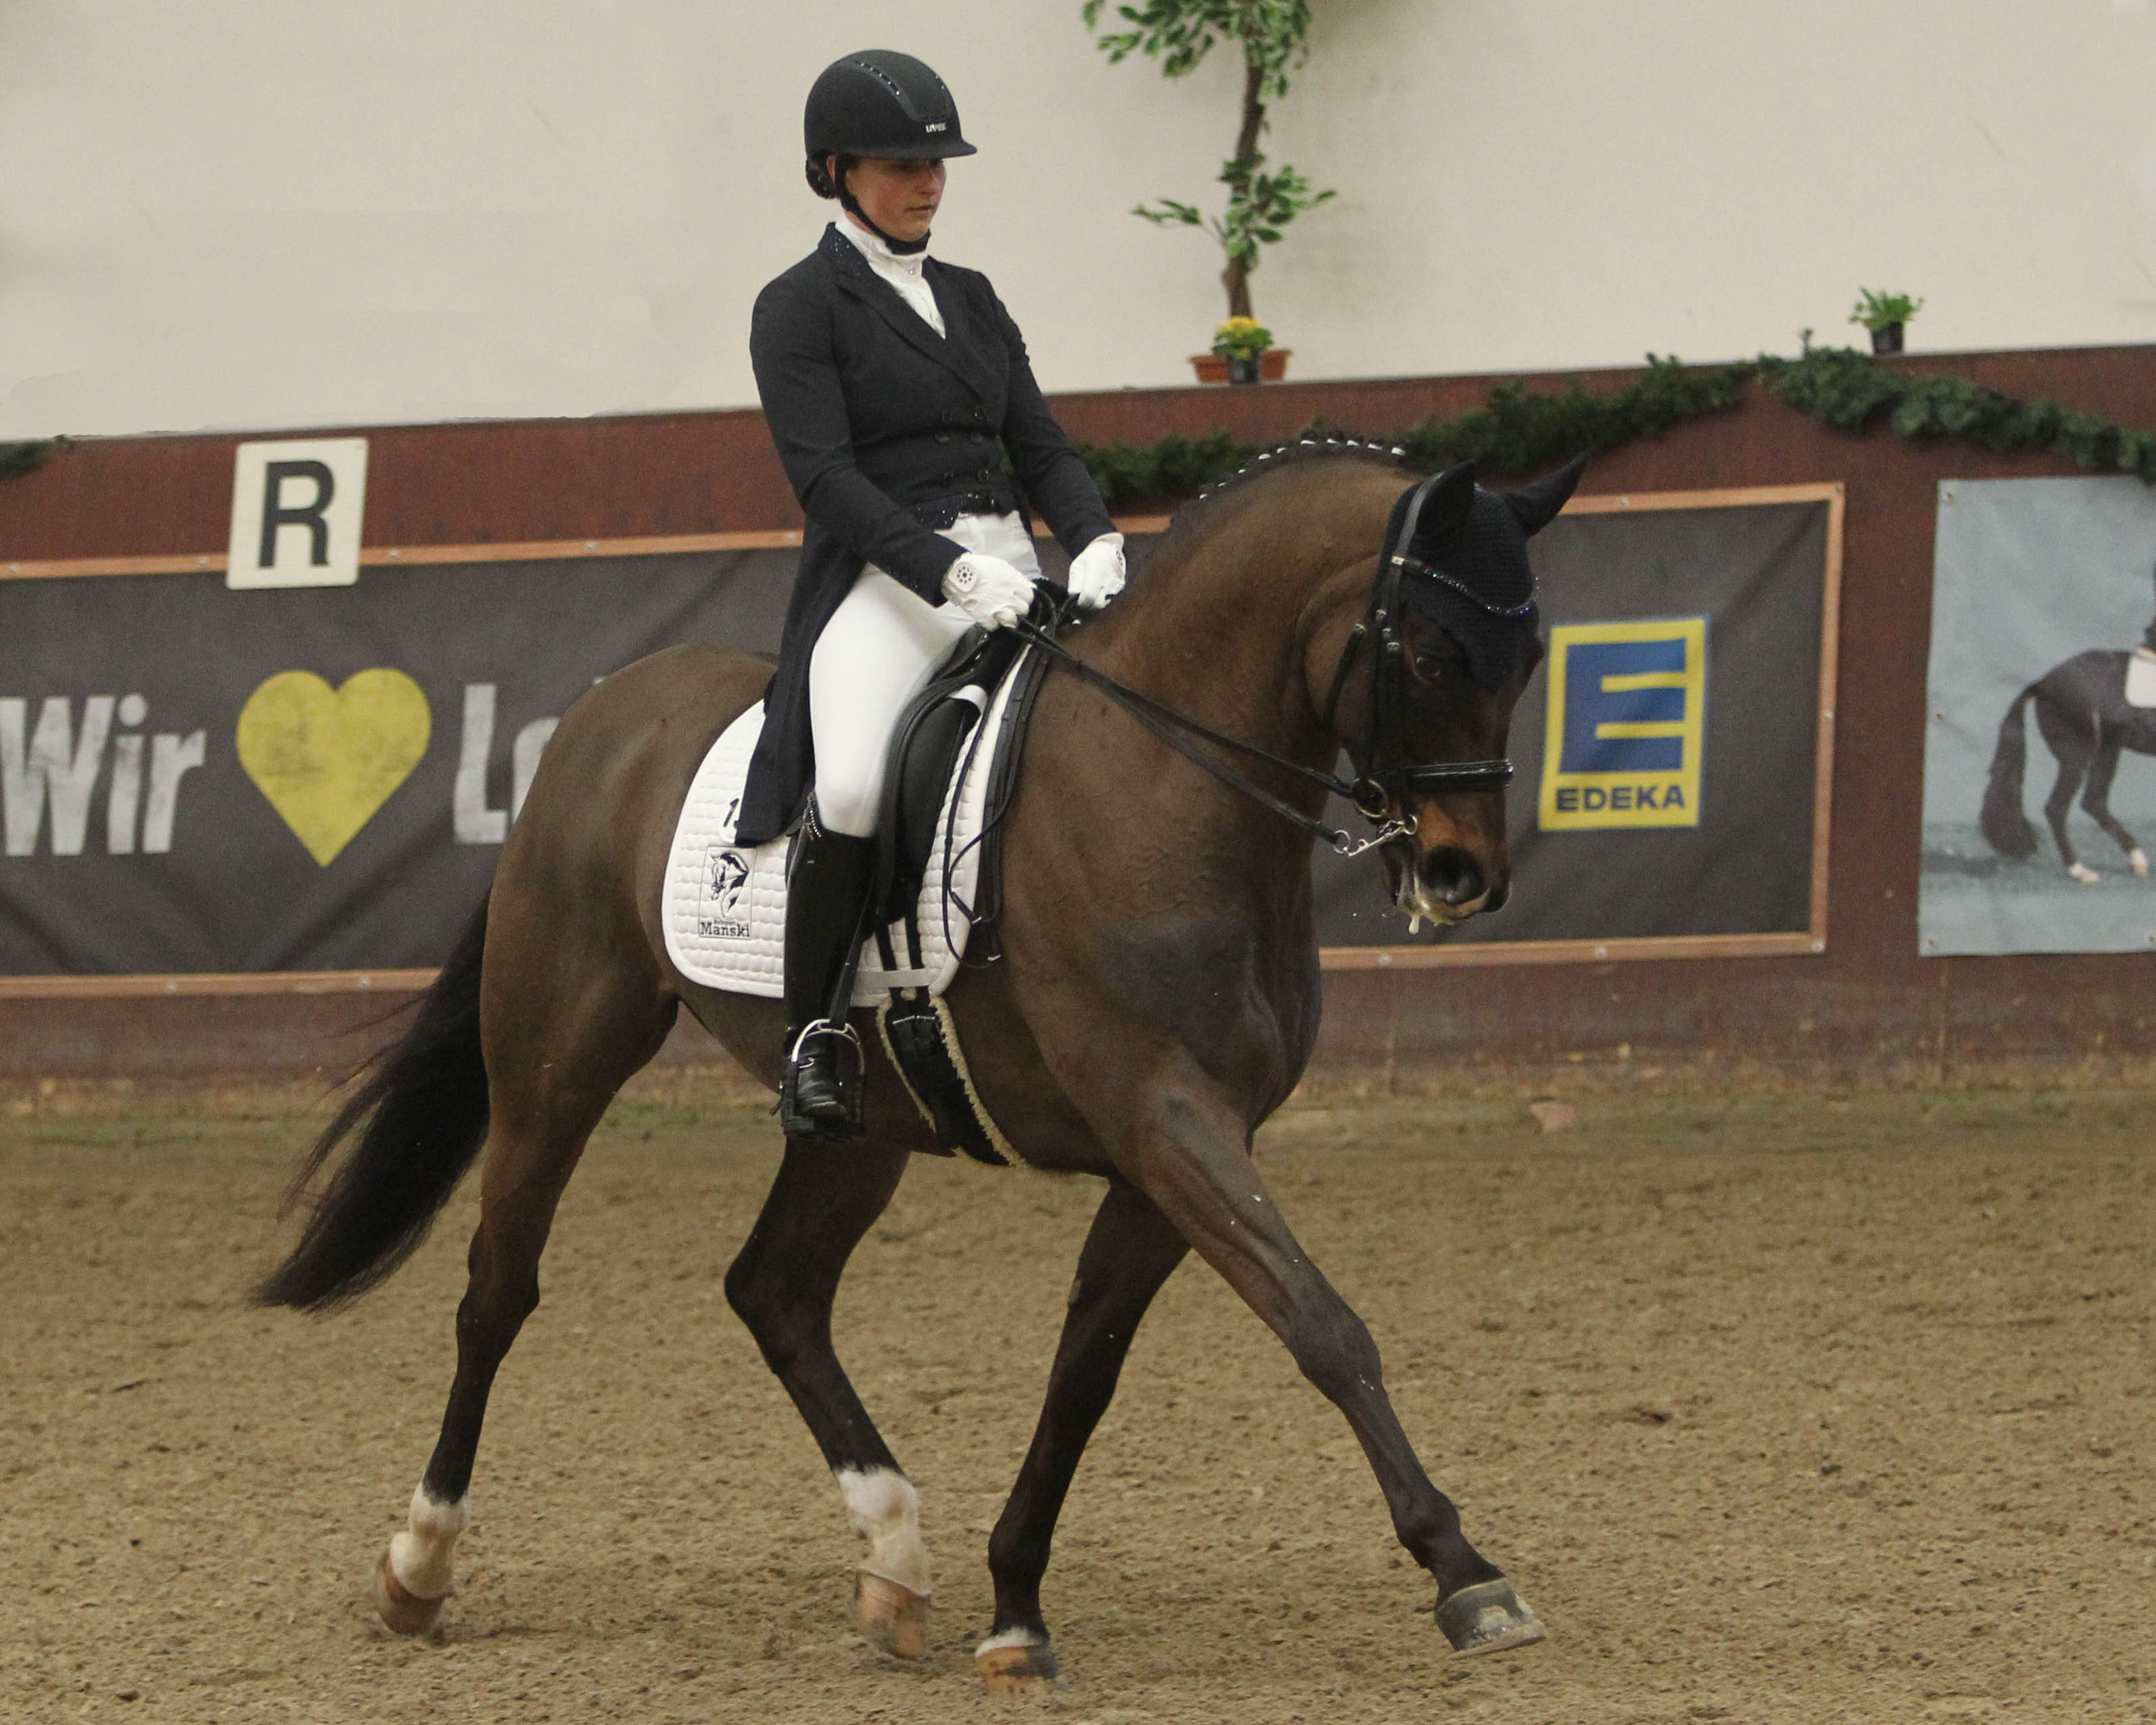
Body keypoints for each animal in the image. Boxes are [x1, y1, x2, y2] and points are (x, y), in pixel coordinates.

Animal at [256, 448, 1587, 1699]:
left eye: (1528, 661)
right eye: (1427, 652)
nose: (1464, 878)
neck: (1160, 784)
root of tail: (599, 716)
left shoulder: (1175, 1150)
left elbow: (1086, 1368)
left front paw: (1014, 1607)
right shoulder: (1164, 1116)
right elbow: (1321, 1324)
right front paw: (1466, 1574)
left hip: (863, 1123)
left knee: (775, 1290)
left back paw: (894, 1558)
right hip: (556, 1058)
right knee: (498, 1290)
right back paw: (420, 1564)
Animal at [1975, 656, 2156, 883]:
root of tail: (2043, 684)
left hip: (2106, 749)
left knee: (2093, 802)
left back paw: (2137, 860)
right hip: (2076, 757)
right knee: (2058, 808)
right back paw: (2079, 870)